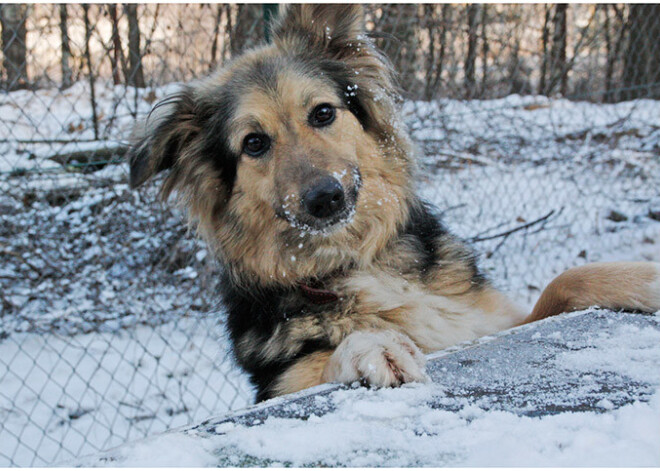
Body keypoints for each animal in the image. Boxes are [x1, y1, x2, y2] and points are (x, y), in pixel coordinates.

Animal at [129, 4, 660, 402]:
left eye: (323, 113)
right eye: (254, 144)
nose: (325, 198)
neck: (358, 260)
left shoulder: (496, 322)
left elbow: (564, 280)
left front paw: (641, 278)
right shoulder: (282, 382)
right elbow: (334, 353)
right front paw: (374, 345)